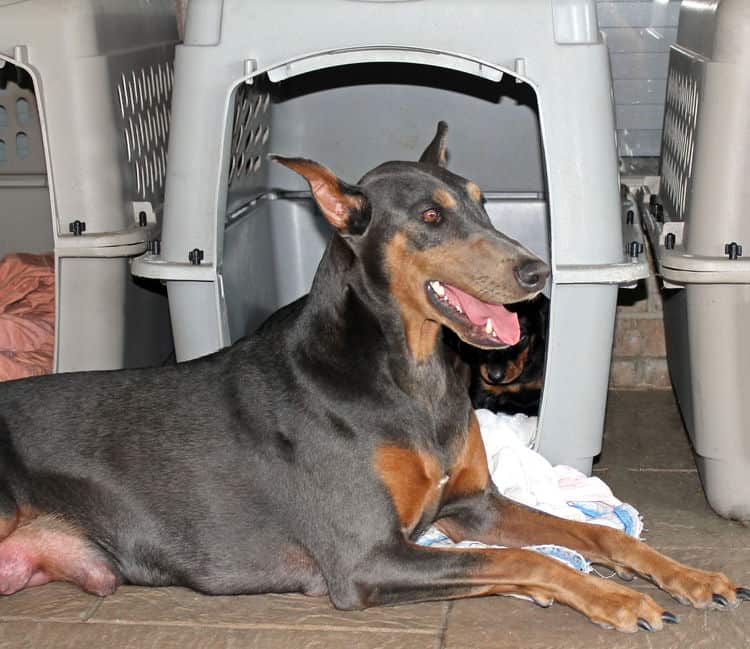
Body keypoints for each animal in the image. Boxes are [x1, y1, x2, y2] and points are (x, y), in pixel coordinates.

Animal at [0, 121, 748, 628]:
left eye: (481, 201)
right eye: (430, 216)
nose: (538, 272)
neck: (412, 376)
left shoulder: (472, 504)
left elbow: (600, 534)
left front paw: (686, 576)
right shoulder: (367, 557)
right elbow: (525, 558)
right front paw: (613, 597)